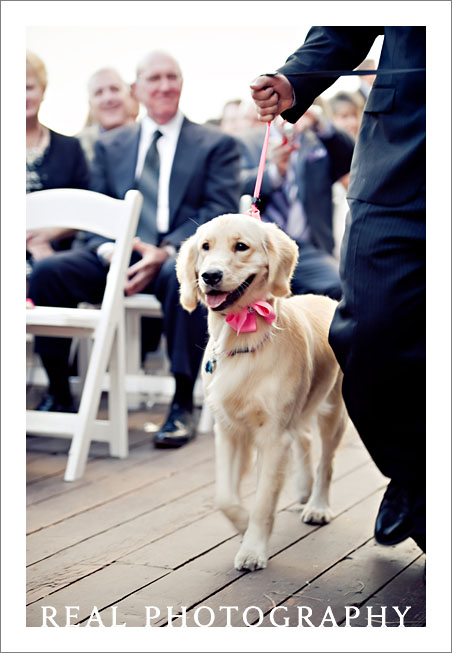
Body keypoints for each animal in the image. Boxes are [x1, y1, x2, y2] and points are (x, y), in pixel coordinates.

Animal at [175, 215, 348, 572]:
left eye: (241, 246)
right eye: (205, 247)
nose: (209, 276)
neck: (241, 337)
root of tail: (326, 299)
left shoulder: (273, 435)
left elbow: (264, 501)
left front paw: (252, 549)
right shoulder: (228, 430)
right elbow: (224, 498)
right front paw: (242, 525)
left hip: (332, 410)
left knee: (326, 461)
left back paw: (317, 505)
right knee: (305, 440)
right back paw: (303, 489)